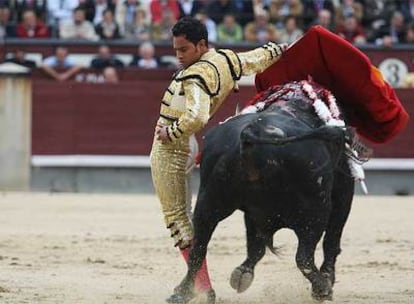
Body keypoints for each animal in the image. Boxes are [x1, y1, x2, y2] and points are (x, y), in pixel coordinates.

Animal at [173, 79, 368, 302]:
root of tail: (253, 135)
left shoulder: (254, 214)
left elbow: (255, 246)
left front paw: (242, 274)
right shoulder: (343, 196)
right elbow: (332, 240)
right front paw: (327, 279)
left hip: (209, 202)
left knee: (198, 248)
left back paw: (182, 291)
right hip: (316, 212)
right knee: (304, 257)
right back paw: (321, 288)